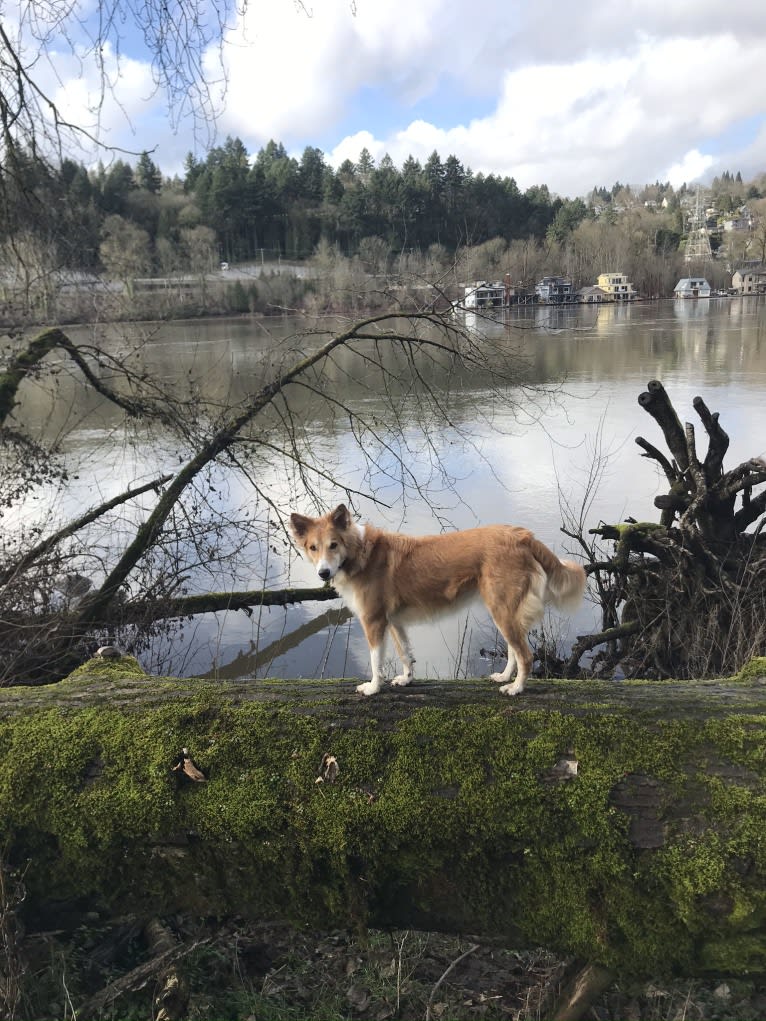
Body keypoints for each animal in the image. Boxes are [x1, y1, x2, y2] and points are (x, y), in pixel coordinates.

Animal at [290, 504, 588, 698]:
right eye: (313, 548)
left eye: (333, 545)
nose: (323, 573)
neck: (361, 553)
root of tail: (522, 535)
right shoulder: (393, 622)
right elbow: (405, 653)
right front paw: (406, 679)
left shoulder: (373, 621)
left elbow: (376, 661)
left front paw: (373, 688)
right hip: (504, 610)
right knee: (515, 651)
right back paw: (505, 677)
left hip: (502, 609)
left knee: (525, 654)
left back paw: (516, 688)